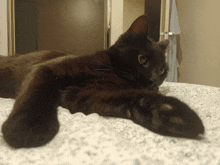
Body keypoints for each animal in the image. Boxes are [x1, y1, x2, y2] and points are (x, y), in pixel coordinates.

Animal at [0, 15, 205, 148]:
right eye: (142, 60)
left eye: (162, 71)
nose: (153, 81)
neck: (111, 71)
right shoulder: (48, 69)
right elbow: (36, 94)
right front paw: (27, 128)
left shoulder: (83, 94)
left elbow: (132, 98)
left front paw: (172, 114)